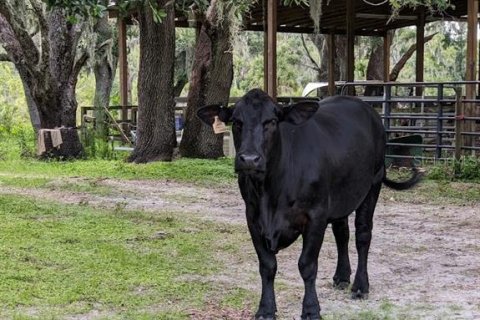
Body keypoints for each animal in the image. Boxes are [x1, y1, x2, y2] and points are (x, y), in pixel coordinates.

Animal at [197, 89, 418, 320]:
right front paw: (265, 309)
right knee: (342, 234)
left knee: (363, 235)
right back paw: (342, 276)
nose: (249, 159)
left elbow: (307, 265)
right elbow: (267, 265)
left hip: (373, 183)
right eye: (236, 121)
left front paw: (311, 309)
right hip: (340, 196)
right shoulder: (252, 217)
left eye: (272, 121)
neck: (270, 193)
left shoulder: (315, 216)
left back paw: (360, 286)